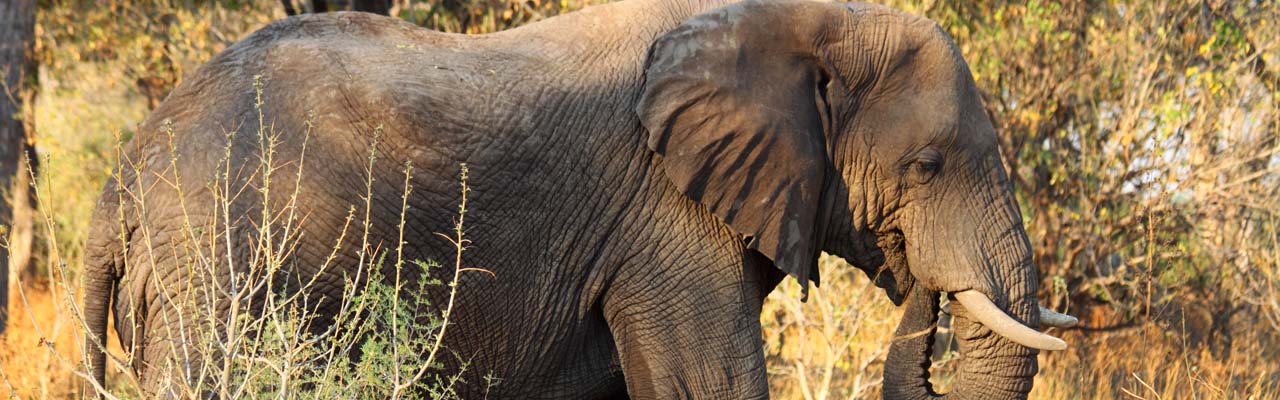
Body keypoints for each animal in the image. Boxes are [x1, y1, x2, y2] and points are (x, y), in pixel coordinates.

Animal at [80, 0, 1075, 397]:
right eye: (929, 166)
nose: (925, 283)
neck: (799, 19)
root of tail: (119, 185)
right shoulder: (668, 221)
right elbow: (708, 383)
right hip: (216, 269)